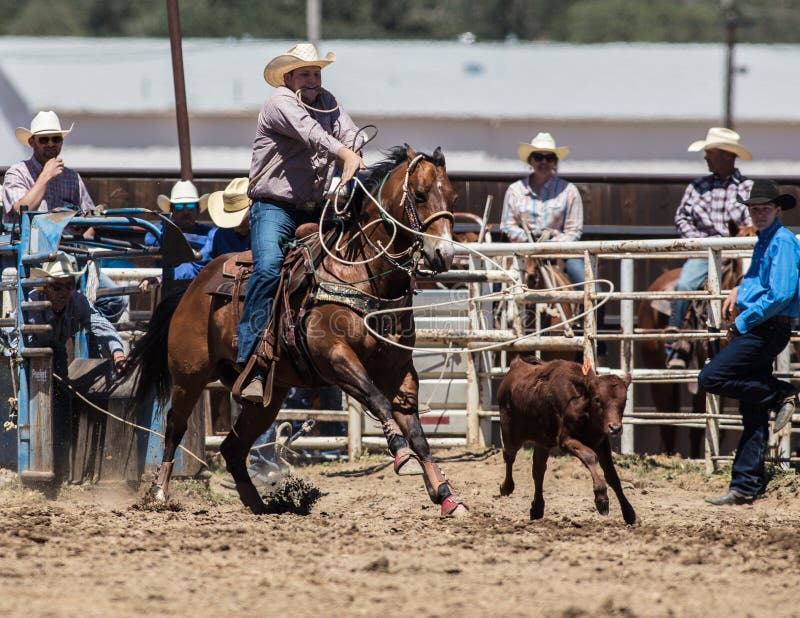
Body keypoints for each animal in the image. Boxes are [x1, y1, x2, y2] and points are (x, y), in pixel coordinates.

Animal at [126, 146, 468, 516]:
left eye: (452, 196)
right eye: (419, 195)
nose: (444, 254)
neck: (359, 273)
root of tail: (193, 285)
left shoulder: (399, 369)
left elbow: (418, 432)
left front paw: (446, 495)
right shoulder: (334, 357)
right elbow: (377, 400)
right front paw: (401, 453)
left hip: (268, 397)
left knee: (233, 447)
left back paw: (258, 504)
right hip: (189, 375)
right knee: (175, 426)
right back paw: (159, 493)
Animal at [500, 354, 636, 524]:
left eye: (624, 400)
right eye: (598, 399)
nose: (615, 428)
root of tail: (515, 367)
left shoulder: (601, 442)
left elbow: (612, 475)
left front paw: (629, 512)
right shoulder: (566, 440)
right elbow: (590, 457)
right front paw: (601, 499)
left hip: (543, 442)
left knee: (538, 470)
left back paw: (537, 508)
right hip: (511, 432)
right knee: (509, 456)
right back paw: (506, 487)